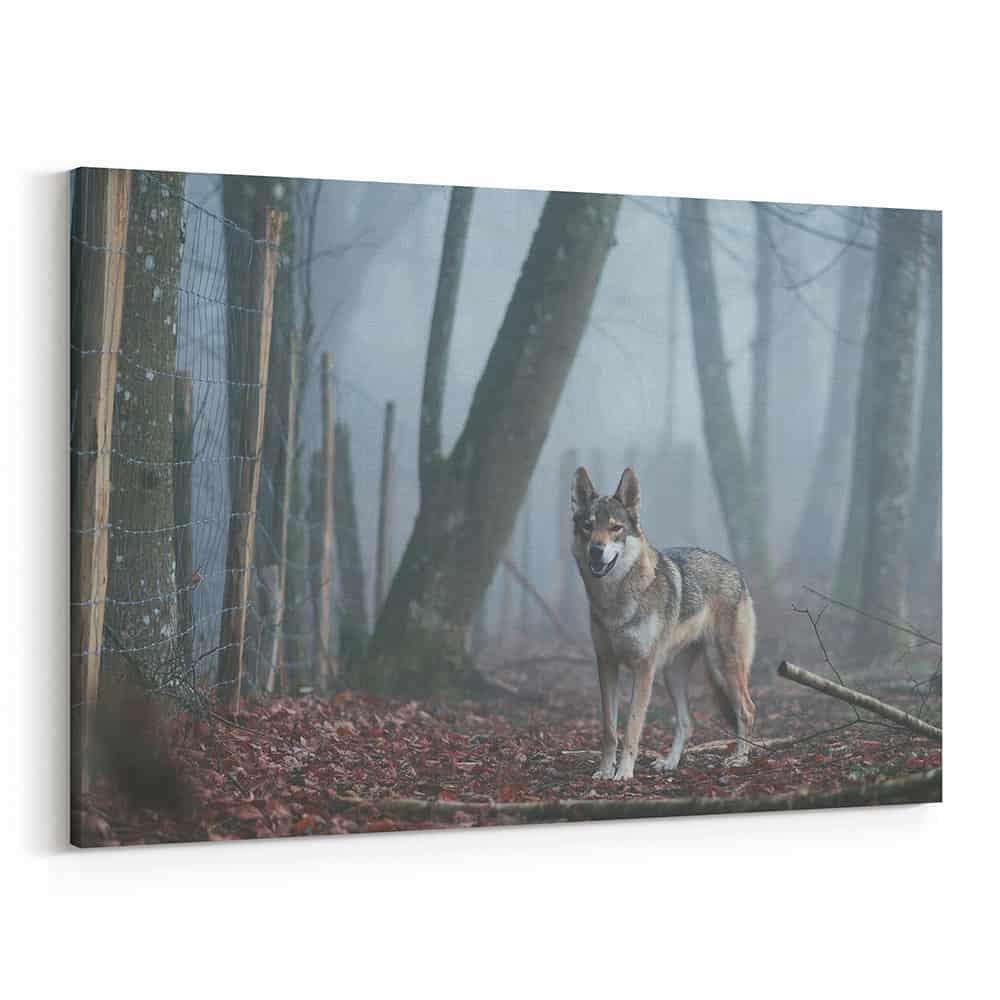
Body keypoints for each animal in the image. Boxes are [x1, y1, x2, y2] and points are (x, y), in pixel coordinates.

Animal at [571, 466, 756, 781]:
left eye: (615, 528)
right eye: (588, 526)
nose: (596, 550)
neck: (615, 601)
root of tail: (735, 569)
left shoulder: (643, 668)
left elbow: (632, 726)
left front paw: (624, 773)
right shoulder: (606, 663)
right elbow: (609, 729)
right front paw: (605, 771)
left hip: (723, 666)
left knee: (747, 710)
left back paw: (739, 759)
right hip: (673, 674)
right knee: (686, 722)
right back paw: (670, 763)